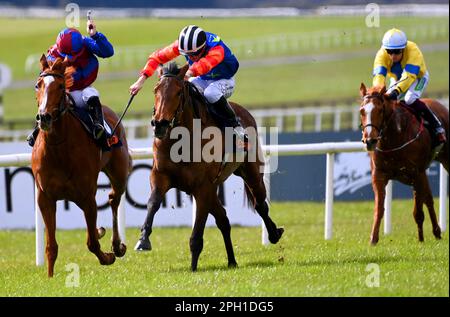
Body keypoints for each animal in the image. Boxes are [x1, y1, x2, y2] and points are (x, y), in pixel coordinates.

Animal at [32, 55, 131, 276]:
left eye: (60, 86)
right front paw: (50, 277)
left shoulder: (87, 196)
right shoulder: (45, 197)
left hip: (119, 172)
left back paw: (117, 245)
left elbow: (92, 242)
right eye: (38, 85)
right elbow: (51, 246)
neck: (59, 148)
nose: (44, 117)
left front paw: (108, 256)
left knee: (114, 198)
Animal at [134, 63, 284, 270]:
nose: (160, 124)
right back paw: (232, 260)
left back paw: (273, 234)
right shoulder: (160, 176)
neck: (181, 140)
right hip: (214, 187)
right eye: (155, 90)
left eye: (178, 92)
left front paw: (193, 267)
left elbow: (198, 231)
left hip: (251, 172)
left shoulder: (202, 187)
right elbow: (153, 203)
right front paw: (143, 239)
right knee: (224, 219)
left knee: (260, 204)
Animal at [358, 82, 446, 243]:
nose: (370, 141)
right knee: (429, 199)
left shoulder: (416, 173)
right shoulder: (379, 175)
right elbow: (379, 208)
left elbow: (418, 211)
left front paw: (421, 240)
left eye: (380, 110)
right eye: (362, 111)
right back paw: (436, 232)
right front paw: (373, 239)